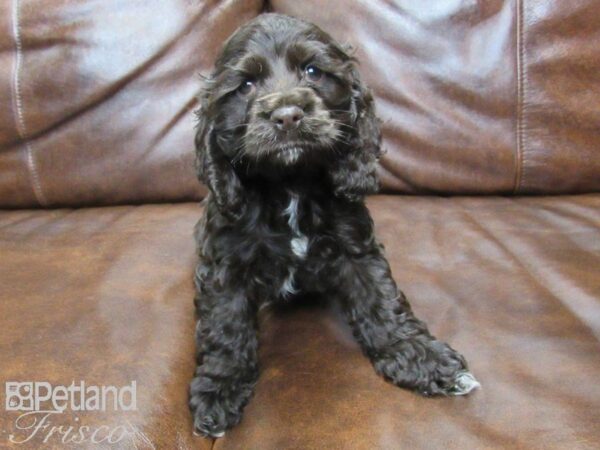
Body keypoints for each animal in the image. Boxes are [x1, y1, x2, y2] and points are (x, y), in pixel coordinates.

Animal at [188, 14, 478, 440]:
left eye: (313, 71)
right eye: (245, 85)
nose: (288, 115)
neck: (290, 184)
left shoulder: (356, 247)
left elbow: (381, 301)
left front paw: (420, 357)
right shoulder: (226, 263)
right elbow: (226, 324)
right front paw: (219, 387)